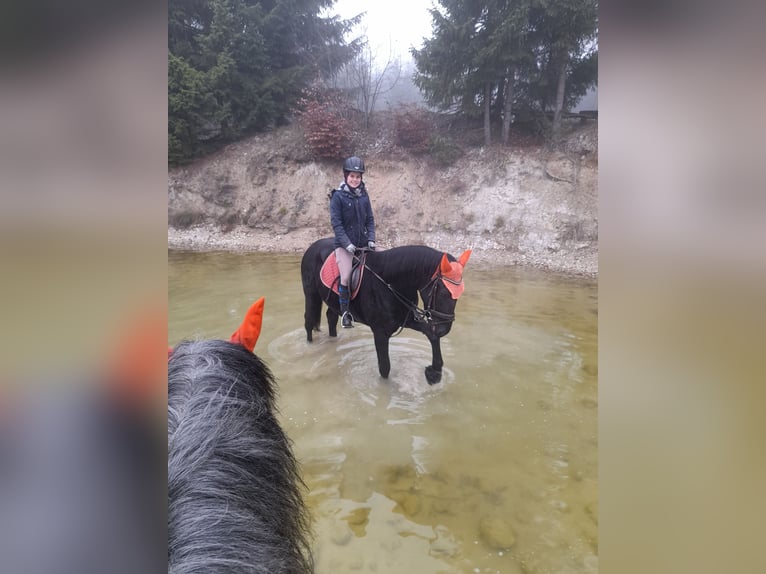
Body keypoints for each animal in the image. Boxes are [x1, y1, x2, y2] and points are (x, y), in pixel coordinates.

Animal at [302, 238, 472, 388]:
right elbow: (385, 367)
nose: (444, 329)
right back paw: (309, 348)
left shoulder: (408, 320)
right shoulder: (380, 332)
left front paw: (434, 373)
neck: (390, 283)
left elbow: (432, 335)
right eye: (443, 292)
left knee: (331, 317)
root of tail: (313, 246)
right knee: (309, 321)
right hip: (311, 294)